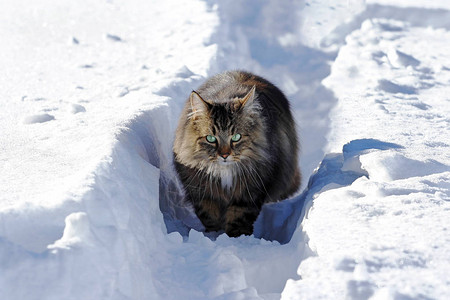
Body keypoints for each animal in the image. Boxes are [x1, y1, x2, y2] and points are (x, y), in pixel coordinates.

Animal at [174, 70, 300, 237]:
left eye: (236, 137)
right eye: (210, 138)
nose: (224, 155)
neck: (224, 172)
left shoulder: (250, 192)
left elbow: (239, 217)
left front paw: (236, 237)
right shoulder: (202, 192)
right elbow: (209, 216)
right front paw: (214, 236)